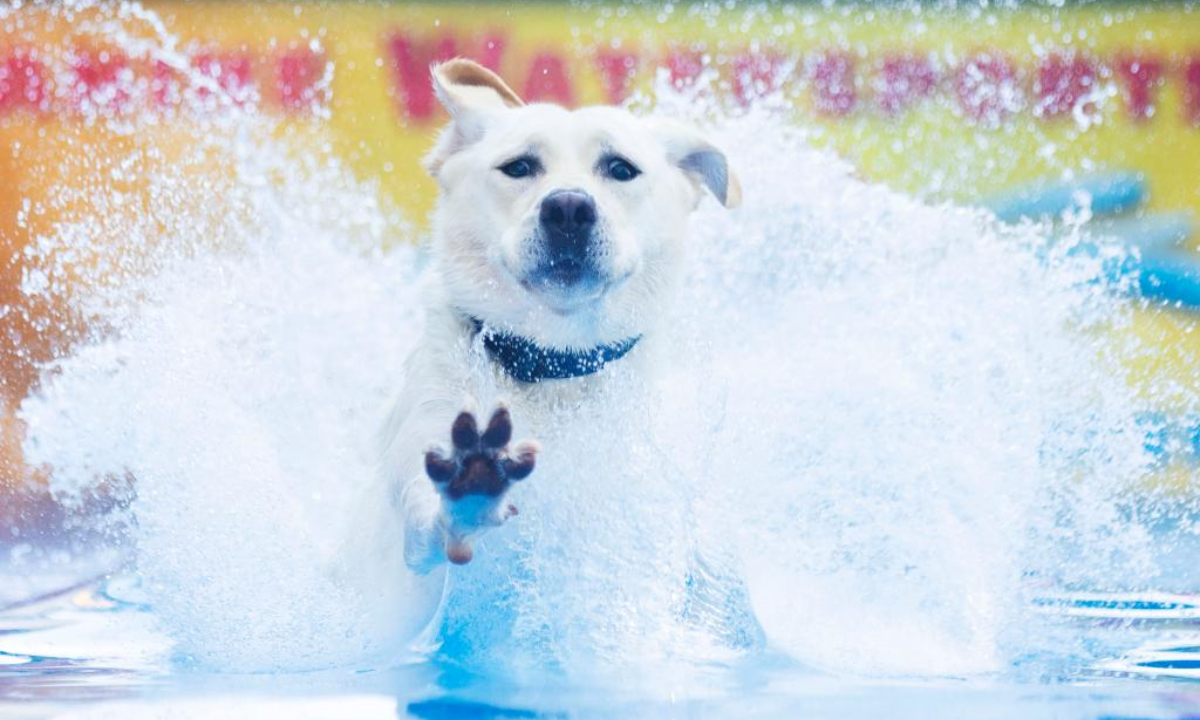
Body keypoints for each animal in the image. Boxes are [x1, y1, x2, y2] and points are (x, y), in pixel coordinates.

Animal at [350, 60, 739, 648]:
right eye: (519, 167)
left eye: (620, 169)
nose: (569, 207)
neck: (553, 367)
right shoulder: (426, 438)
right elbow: (429, 517)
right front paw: (471, 488)